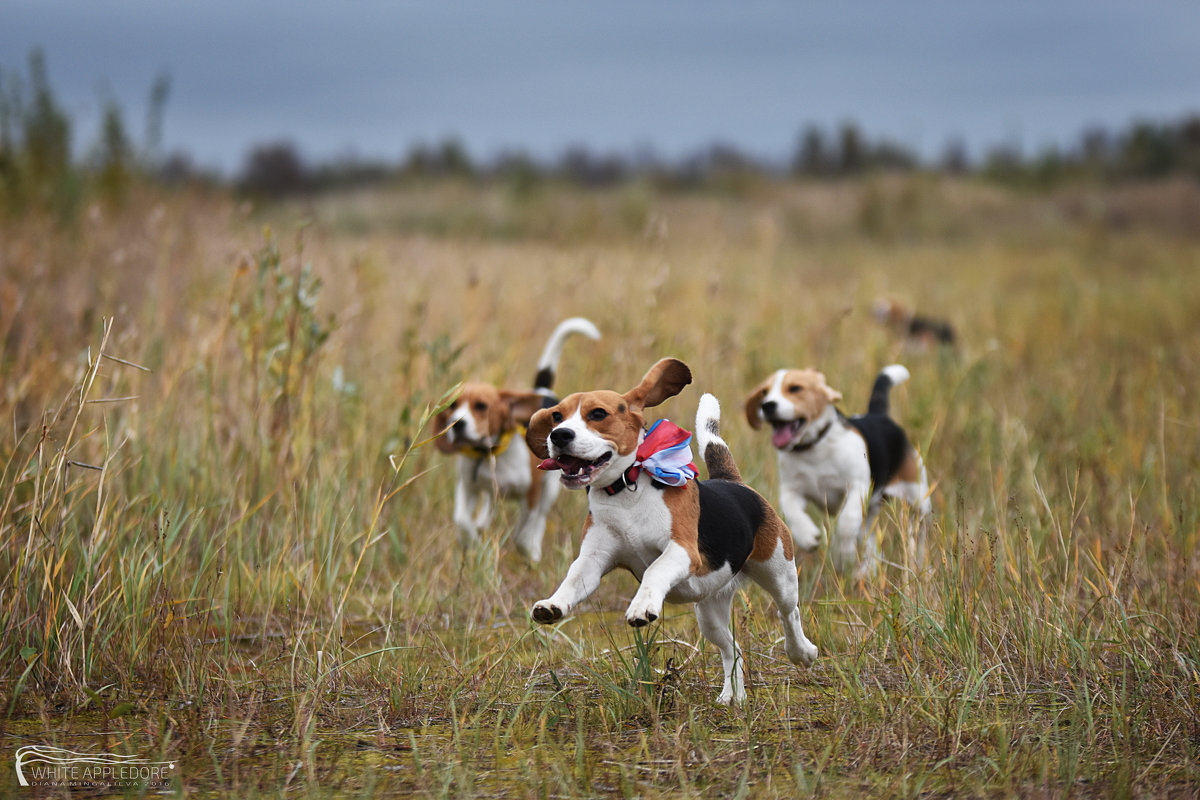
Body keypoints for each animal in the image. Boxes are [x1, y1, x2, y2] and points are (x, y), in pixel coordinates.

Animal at [432, 316, 600, 561]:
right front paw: (472, 541)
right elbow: (462, 519)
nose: (456, 423)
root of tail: (543, 391)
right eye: (453, 406)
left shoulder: (532, 493)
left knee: (539, 518)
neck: (490, 453)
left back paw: (534, 548)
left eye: (481, 406)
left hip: (549, 488)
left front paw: (525, 545)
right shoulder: (468, 485)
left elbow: (526, 525)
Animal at [525, 359, 816, 705]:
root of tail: (733, 481)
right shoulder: (593, 560)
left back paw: (802, 653)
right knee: (732, 649)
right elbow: (572, 579)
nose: (558, 435)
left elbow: (654, 569)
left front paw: (641, 607)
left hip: (780, 573)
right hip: (709, 612)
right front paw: (552, 605)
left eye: (597, 413)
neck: (626, 490)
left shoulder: (681, 550)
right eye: (557, 416)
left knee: (790, 614)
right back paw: (732, 697)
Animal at [744, 362, 931, 575]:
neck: (812, 450)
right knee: (871, 543)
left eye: (795, 388)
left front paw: (843, 556)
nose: (767, 405)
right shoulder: (791, 489)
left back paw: (922, 566)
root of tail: (878, 416)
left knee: (921, 533)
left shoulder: (857, 487)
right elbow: (791, 510)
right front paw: (807, 536)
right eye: (764, 392)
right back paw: (867, 571)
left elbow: (846, 522)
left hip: (918, 500)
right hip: (870, 514)